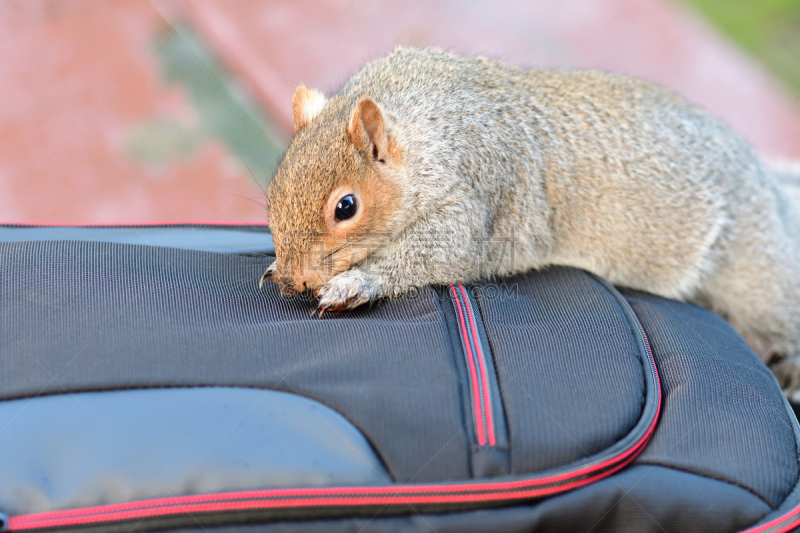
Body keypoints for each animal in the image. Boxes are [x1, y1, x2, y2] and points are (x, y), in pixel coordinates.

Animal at [260, 47, 800, 388]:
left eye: (346, 207)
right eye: (274, 186)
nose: (292, 280)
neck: (423, 123)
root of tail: (769, 186)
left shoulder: (479, 194)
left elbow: (440, 254)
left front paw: (356, 282)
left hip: (755, 267)